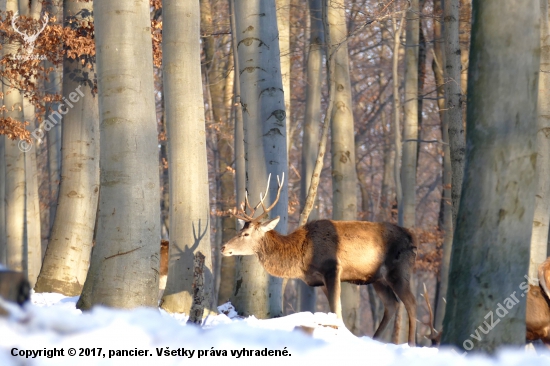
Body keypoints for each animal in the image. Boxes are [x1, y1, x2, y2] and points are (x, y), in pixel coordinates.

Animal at [221, 173, 418, 344]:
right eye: (240, 230)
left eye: (245, 234)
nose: (223, 247)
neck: (302, 258)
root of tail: (412, 238)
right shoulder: (320, 280)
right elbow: (335, 310)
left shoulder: (332, 268)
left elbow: (336, 309)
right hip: (378, 279)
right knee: (392, 304)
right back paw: (375, 339)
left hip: (399, 271)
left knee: (411, 303)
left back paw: (410, 344)